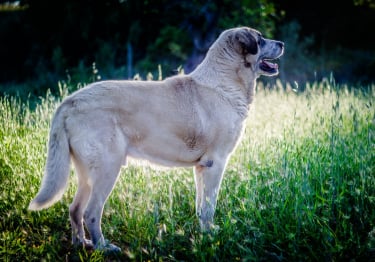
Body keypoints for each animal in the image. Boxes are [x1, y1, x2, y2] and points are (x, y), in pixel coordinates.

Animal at [29, 26, 284, 252]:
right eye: (260, 39)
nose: (282, 43)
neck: (226, 82)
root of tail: (70, 101)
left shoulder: (201, 167)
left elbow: (200, 205)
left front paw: (203, 233)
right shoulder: (216, 163)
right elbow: (210, 206)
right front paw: (211, 237)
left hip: (86, 174)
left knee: (75, 209)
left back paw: (82, 244)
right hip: (107, 168)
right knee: (91, 212)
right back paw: (103, 247)